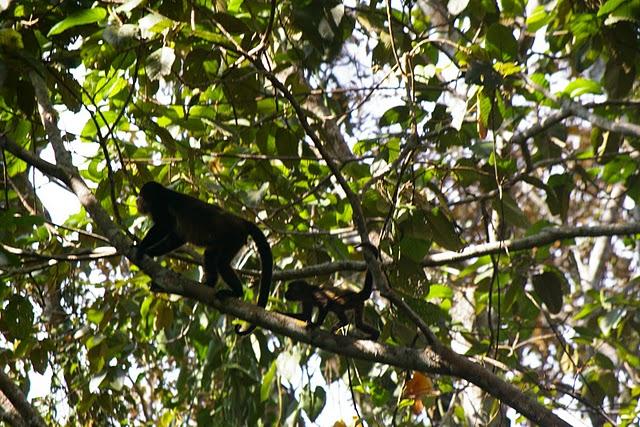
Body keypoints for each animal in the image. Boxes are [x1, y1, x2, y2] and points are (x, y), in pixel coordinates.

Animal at [135, 180, 272, 334]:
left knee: (222, 263)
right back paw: (209, 284)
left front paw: (143, 247)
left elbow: (164, 227)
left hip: (233, 237)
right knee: (210, 255)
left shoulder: (160, 207)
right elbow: (177, 237)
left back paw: (236, 292)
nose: (137, 200)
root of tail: (241, 221)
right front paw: (151, 252)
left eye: (141, 195)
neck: (160, 195)